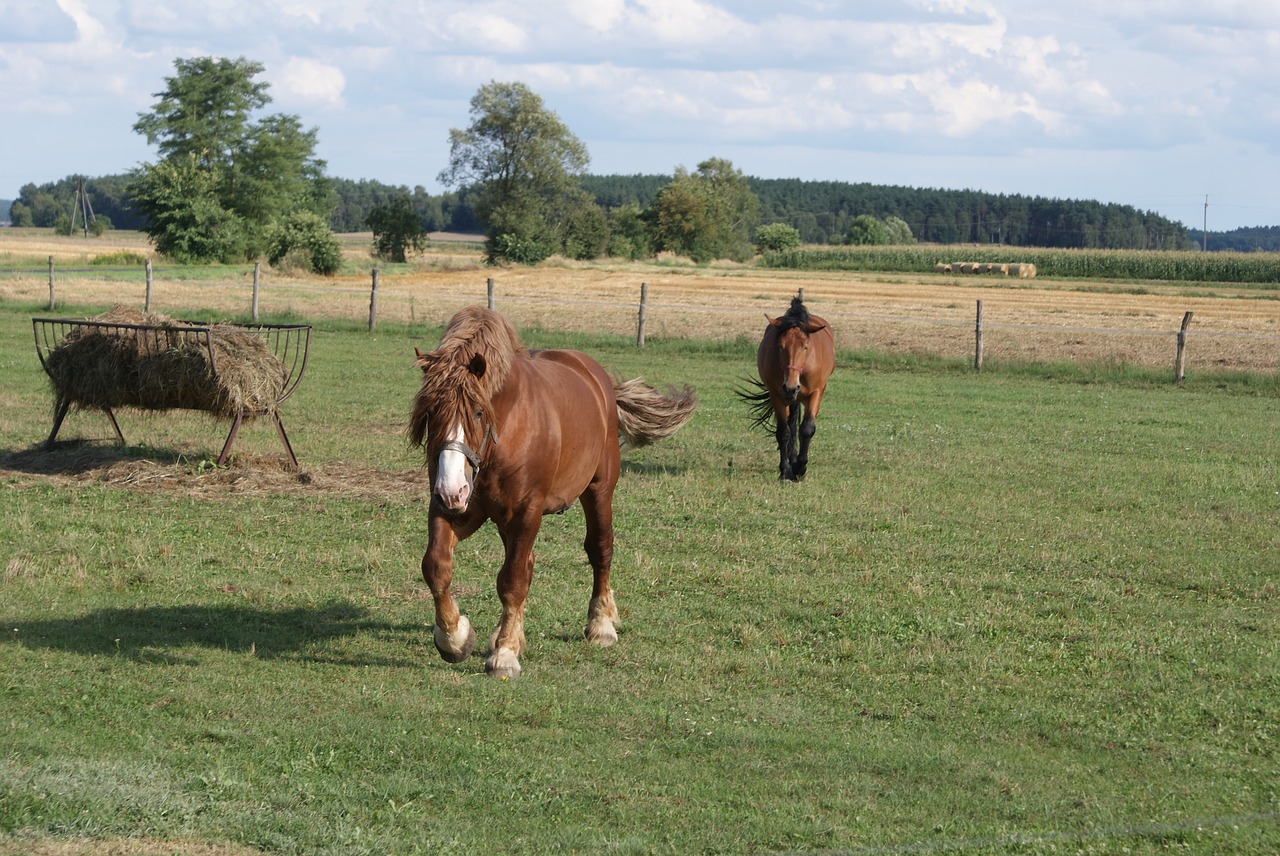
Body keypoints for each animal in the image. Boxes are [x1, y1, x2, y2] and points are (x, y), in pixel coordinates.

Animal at [407, 305, 696, 675]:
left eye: (478, 412)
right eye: (430, 413)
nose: (452, 490)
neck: (505, 434)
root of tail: (598, 378)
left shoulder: (527, 511)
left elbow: (512, 580)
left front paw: (504, 655)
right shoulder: (456, 510)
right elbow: (437, 567)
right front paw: (456, 638)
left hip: (599, 490)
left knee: (600, 549)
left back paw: (601, 624)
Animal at [737, 294, 834, 481]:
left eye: (805, 347)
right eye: (780, 346)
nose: (791, 387)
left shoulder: (816, 392)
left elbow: (807, 429)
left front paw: (800, 468)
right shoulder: (777, 396)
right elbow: (783, 432)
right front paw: (786, 470)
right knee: (791, 427)